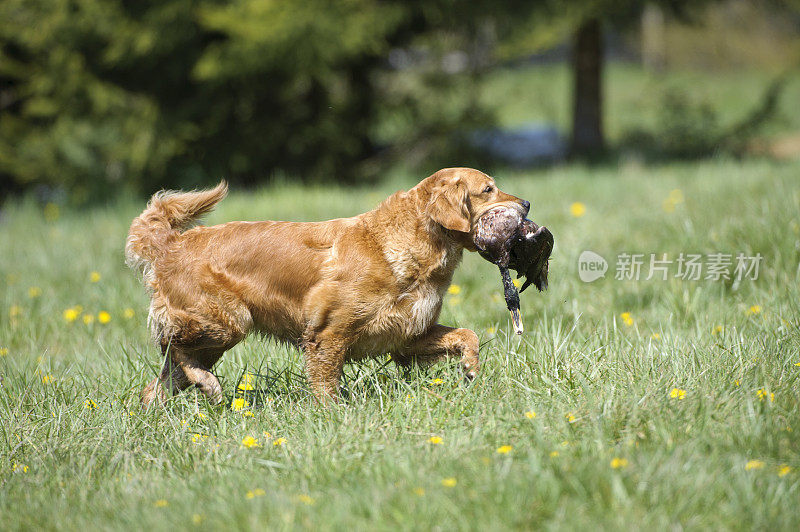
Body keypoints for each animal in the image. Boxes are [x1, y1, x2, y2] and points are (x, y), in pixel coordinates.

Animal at [126, 168, 532, 406]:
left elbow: (468, 335)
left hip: (215, 338)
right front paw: (333, 417)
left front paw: (470, 368)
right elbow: (327, 385)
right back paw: (208, 386)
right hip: (228, 322)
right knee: (174, 346)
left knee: (158, 381)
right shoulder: (327, 334)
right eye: (489, 189)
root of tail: (171, 243)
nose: (527, 203)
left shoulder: (408, 335)